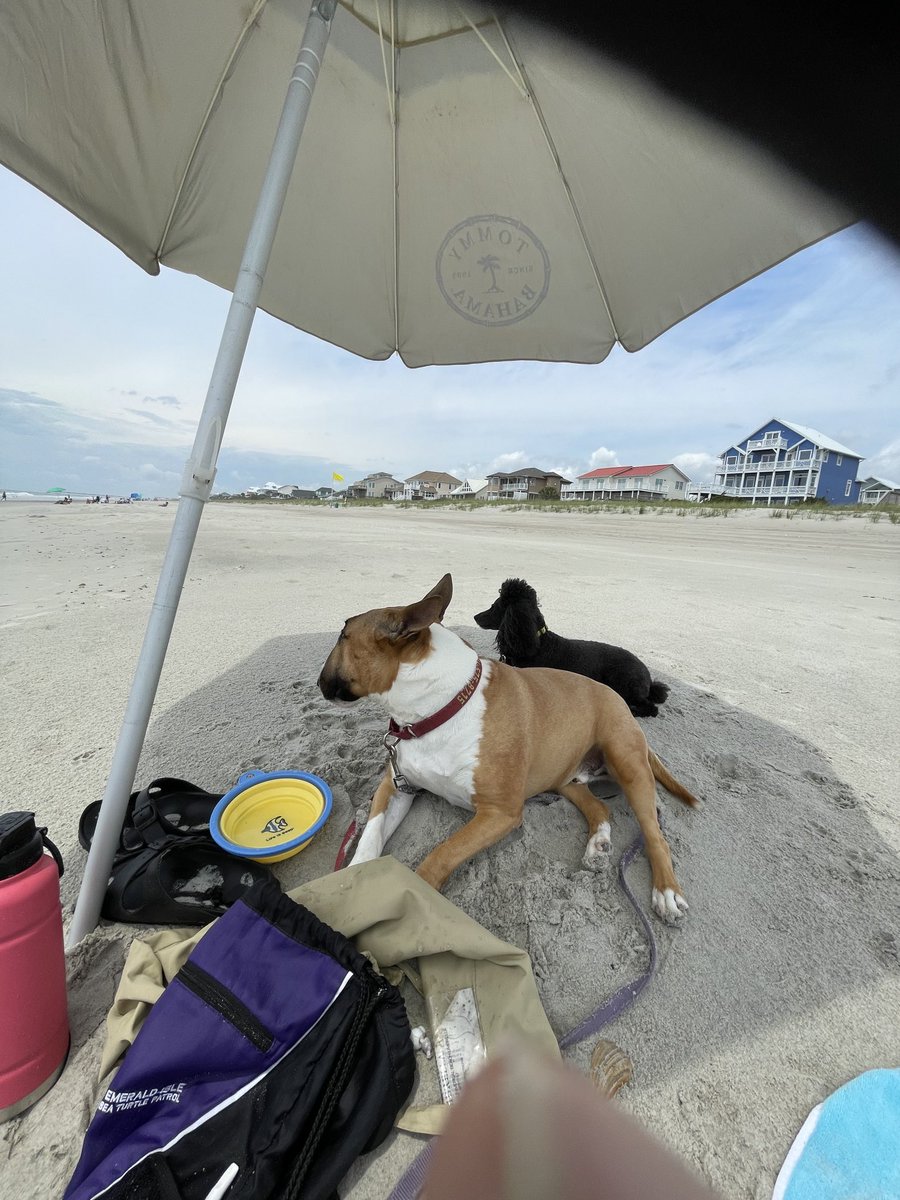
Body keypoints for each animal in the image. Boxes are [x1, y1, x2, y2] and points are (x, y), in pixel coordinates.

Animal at [472, 576, 672, 715]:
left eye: (495, 605)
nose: (475, 617)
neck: (539, 644)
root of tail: (648, 678)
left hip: (624, 682)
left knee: (650, 708)